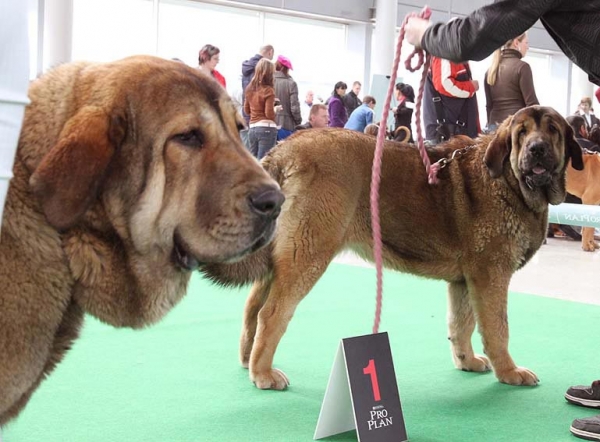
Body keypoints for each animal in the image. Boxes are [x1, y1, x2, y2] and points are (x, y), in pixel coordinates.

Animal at [202, 106, 580, 390]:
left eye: (552, 131)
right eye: (521, 134)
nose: (536, 148)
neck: (509, 183)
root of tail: (285, 149)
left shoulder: (466, 280)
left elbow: (461, 324)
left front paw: (467, 361)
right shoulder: (491, 275)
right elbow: (497, 327)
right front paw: (510, 372)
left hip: (286, 254)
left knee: (253, 306)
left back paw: (249, 361)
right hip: (308, 251)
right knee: (272, 312)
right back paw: (264, 374)